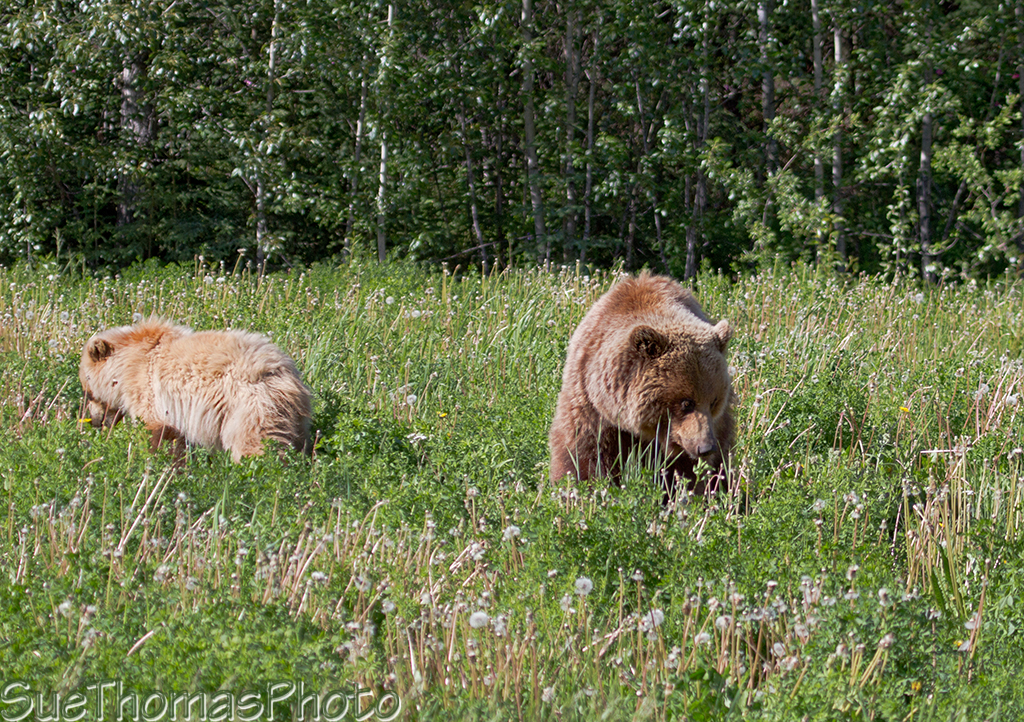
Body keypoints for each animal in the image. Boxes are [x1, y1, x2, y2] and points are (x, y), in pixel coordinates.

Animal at [79, 319, 313, 462]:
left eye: (87, 392)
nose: (94, 421)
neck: (126, 365)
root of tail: (281, 372)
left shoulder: (149, 389)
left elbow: (155, 429)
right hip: (294, 416)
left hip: (251, 406)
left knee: (254, 441)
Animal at [548, 272, 734, 497]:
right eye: (686, 402)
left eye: (714, 401)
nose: (706, 447)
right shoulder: (591, 405)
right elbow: (583, 454)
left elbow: (685, 471)